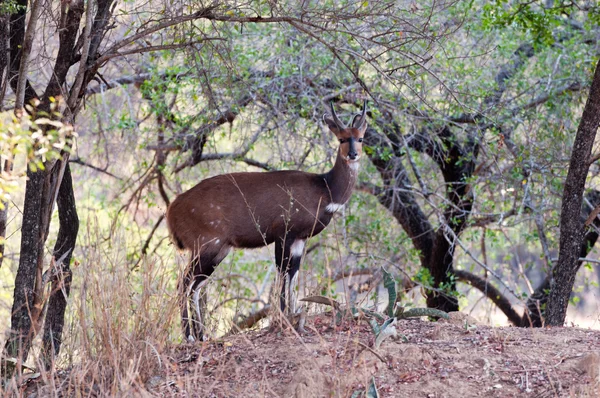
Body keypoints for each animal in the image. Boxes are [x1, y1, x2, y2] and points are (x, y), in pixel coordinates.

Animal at [166, 101, 368, 340]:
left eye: (360, 138)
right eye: (342, 138)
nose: (353, 154)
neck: (325, 190)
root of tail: (172, 210)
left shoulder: (300, 239)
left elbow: (292, 275)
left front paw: (292, 318)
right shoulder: (284, 233)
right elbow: (282, 274)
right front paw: (282, 321)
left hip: (219, 250)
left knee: (195, 286)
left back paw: (202, 336)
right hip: (206, 244)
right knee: (184, 283)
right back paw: (189, 336)